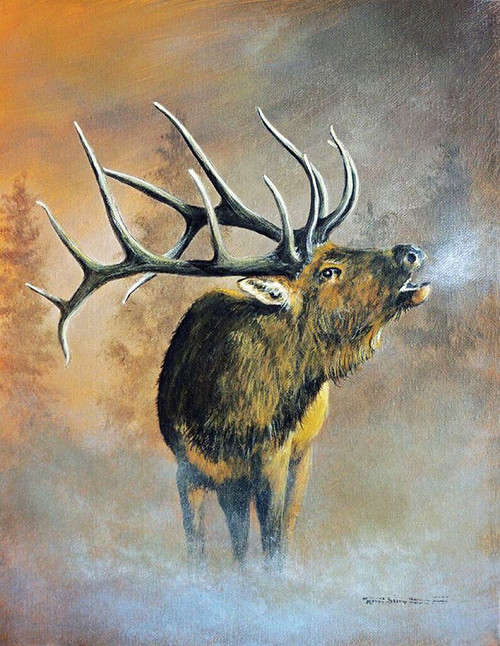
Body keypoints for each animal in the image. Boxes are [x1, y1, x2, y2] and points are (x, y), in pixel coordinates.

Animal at [27, 102, 431, 568]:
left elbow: (273, 546)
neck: (228, 418)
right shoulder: (189, 469)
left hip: (303, 452)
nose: (411, 252)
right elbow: (201, 549)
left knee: (288, 527)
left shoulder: (275, 459)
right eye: (329, 271)